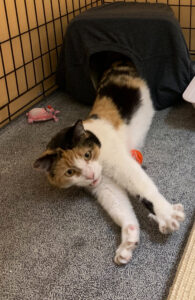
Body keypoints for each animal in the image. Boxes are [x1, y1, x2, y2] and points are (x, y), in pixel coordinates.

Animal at [34, 60, 185, 264]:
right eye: (69, 172)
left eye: (87, 154)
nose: (90, 174)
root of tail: (117, 62)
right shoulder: (103, 184)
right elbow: (119, 207)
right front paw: (129, 238)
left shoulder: (121, 162)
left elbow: (144, 189)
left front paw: (166, 214)